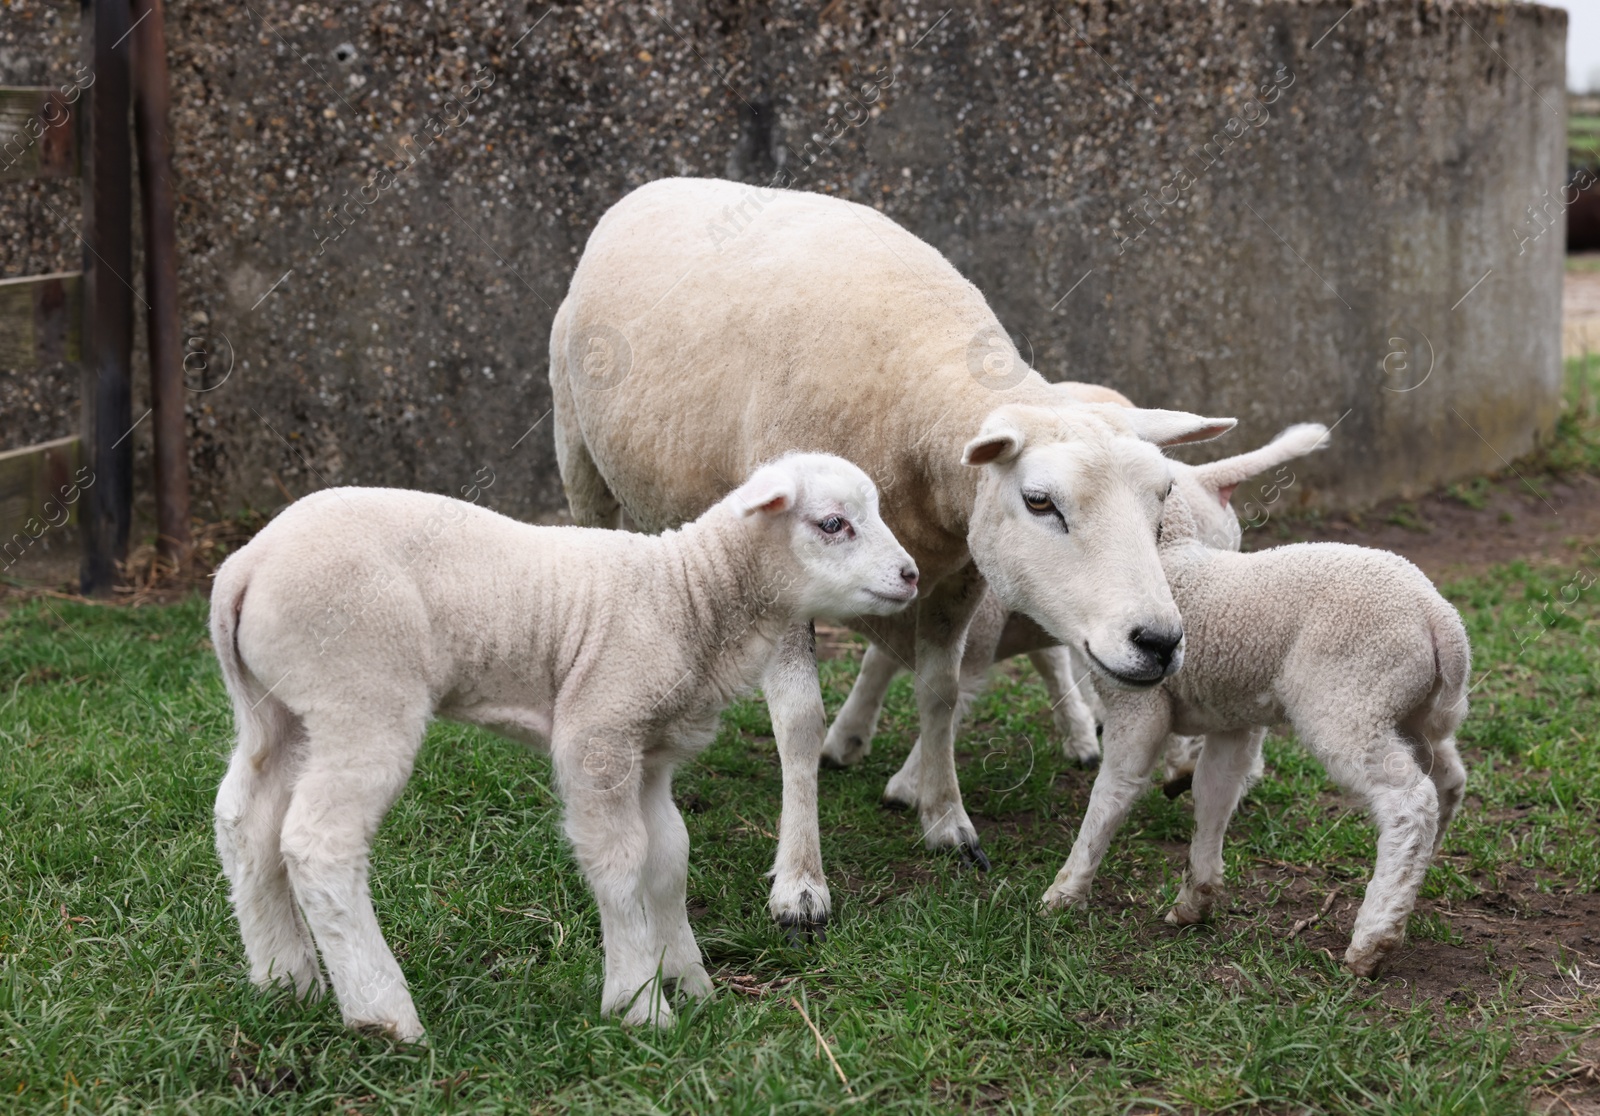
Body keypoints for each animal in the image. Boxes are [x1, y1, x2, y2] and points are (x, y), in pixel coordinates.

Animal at [206, 450, 921, 1036]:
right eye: (833, 524)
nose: (912, 574)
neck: (688, 596)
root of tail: (245, 566)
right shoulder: (598, 732)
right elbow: (620, 861)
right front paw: (638, 1003)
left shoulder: (651, 751)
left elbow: (669, 857)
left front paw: (690, 981)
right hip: (360, 692)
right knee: (318, 844)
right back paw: (383, 1014)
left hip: (283, 709)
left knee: (245, 822)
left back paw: (285, 982)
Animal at [544, 178, 1228, 933]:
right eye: (1040, 500)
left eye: (1163, 496)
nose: (1159, 643)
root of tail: (653, 186)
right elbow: (799, 720)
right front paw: (800, 882)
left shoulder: (960, 573)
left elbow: (941, 690)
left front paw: (946, 821)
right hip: (578, 451)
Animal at [1024, 479, 1472, 972]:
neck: (1167, 555)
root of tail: (1440, 618)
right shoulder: (1230, 715)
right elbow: (1212, 794)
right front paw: (1194, 901)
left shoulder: (1138, 705)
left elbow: (1112, 793)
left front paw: (1064, 894)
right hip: (1408, 710)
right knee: (1448, 779)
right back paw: (1416, 880)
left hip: (1348, 701)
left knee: (1410, 801)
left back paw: (1373, 938)